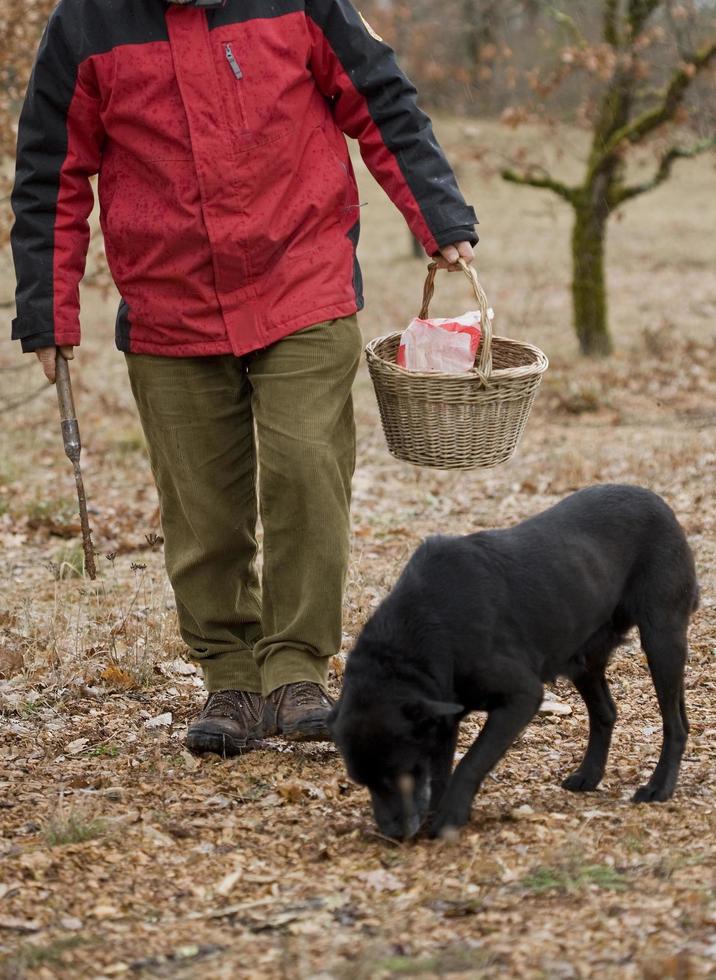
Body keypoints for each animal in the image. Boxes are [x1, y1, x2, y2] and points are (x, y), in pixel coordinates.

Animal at [330, 486, 700, 840]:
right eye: (364, 783)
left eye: (401, 775)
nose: (391, 834)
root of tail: (656, 500)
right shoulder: (442, 717)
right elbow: (440, 770)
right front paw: (438, 813)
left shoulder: (521, 696)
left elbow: (470, 762)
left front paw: (450, 816)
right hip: (582, 655)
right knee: (606, 713)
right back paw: (589, 775)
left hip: (661, 637)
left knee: (675, 724)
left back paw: (659, 787)